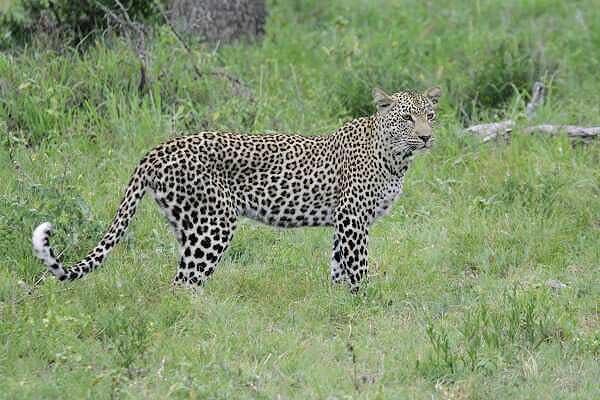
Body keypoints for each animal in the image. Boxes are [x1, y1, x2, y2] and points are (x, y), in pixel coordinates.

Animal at [32, 86, 442, 290]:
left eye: (431, 115)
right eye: (407, 117)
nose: (426, 137)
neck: (396, 157)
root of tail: (157, 149)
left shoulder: (344, 222)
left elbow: (338, 266)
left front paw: (339, 302)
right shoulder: (354, 218)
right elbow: (357, 266)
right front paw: (365, 302)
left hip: (187, 225)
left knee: (183, 279)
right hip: (214, 224)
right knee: (183, 282)